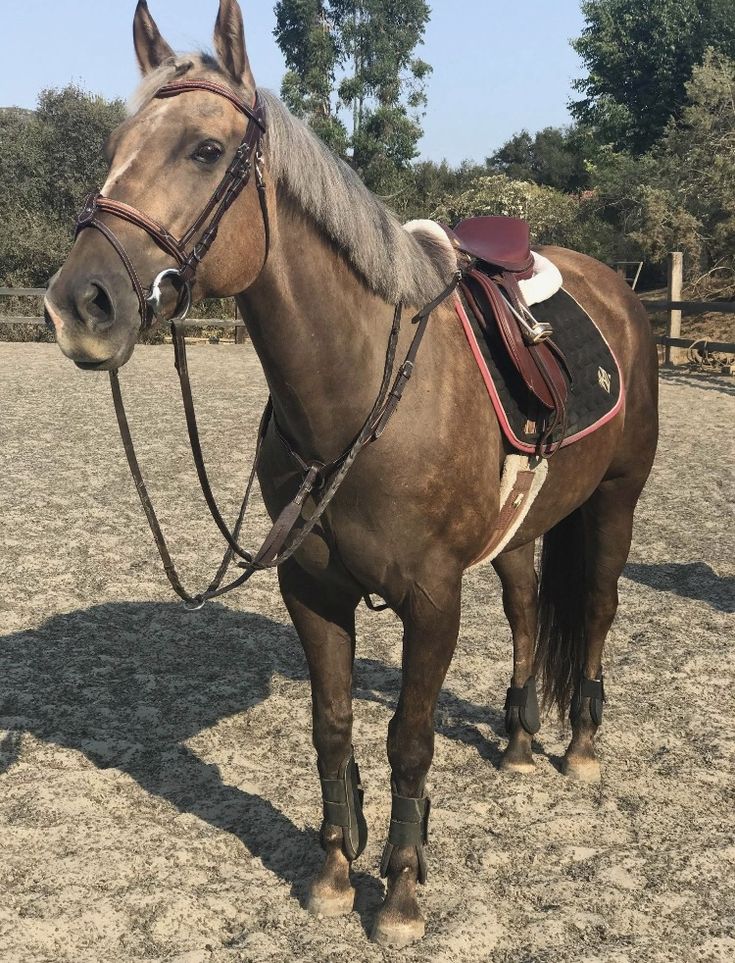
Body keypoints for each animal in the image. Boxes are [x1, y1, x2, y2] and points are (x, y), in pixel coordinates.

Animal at [43, 0, 660, 948]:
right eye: (116, 144)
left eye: (206, 150)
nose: (80, 305)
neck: (357, 391)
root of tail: (619, 290)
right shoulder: (311, 587)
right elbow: (331, 725)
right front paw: (335, 871)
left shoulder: (431, 599)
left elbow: (409, 736)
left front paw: (400, 892)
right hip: (525, 523)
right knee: (526, 609)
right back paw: (520, 741)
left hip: (614, 502)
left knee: (592, 607)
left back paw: (579, 747)